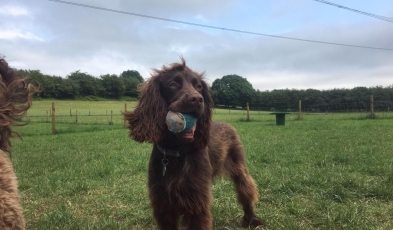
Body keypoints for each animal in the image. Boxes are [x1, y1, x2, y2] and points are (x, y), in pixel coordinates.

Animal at [124, 58, 262, 230]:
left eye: (199, 86)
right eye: (173, 84)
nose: (197, 99)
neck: (176, 151)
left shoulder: (197, 202)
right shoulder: (162, 202)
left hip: (239, 166)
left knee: (246, 190)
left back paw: (251, 219)